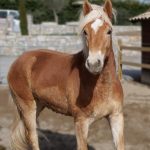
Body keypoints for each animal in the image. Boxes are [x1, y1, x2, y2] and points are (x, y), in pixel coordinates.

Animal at [7, 0, 124, 150]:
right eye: (85, 32)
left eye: (109, 31)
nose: (93, 64)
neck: (101, 86)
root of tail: (17, 61)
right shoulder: (81, 122)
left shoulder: (116, 117)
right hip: (27, 106)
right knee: (32, 137)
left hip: (38, 104)